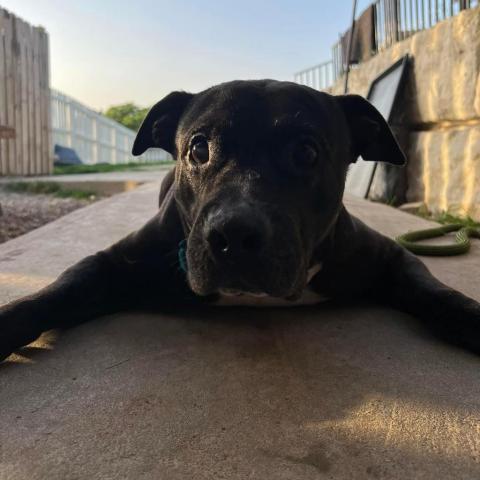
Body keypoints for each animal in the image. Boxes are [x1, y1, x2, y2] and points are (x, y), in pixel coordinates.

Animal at [0, 79, 480, 358]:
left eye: (306, 151)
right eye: (198, 148)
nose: (233, 233)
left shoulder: (390, 257)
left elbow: (435, 291)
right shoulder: (111, 263)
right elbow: (54, 292)